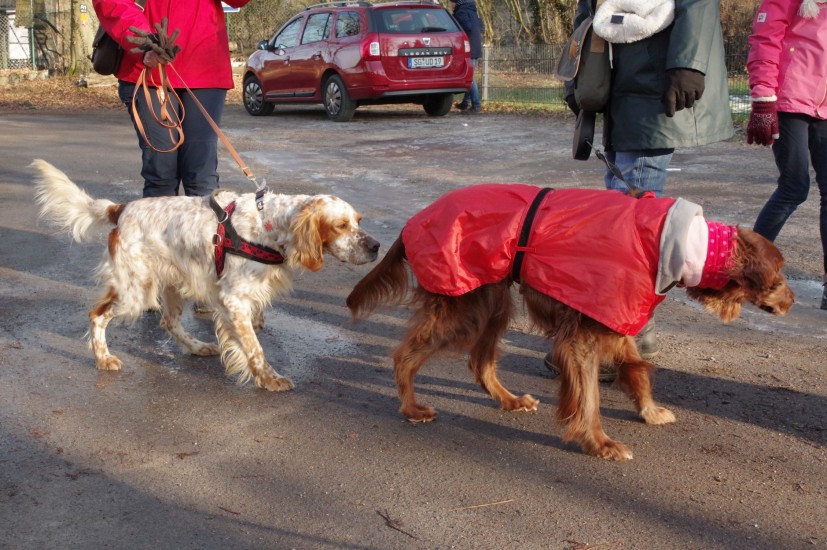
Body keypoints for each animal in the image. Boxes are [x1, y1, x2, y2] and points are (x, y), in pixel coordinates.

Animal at [33, 160, 379, 391]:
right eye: (340, 226)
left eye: (358, 221)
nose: (376, 247)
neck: (269, 225)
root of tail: (121, 208)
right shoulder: (234, 300)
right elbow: (255, 348)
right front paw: (269, 379)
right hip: (136, 289)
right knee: (97, 315)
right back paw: (104, 359)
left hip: (172, 285)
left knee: (168, 321)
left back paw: (198, 347)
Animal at [346, 184, 794, 460]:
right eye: (779, 278)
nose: (791, 302)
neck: (679, 246)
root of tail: (413, 220)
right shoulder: (584, 336)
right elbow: (589, 397)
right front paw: (599, 443)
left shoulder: (611, 319)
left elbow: (636, 371)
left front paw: (649, 411)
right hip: (462, 305)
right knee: (405, 356)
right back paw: (412, 407)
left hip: (492, 304)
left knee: (480, 362)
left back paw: (510, 400)